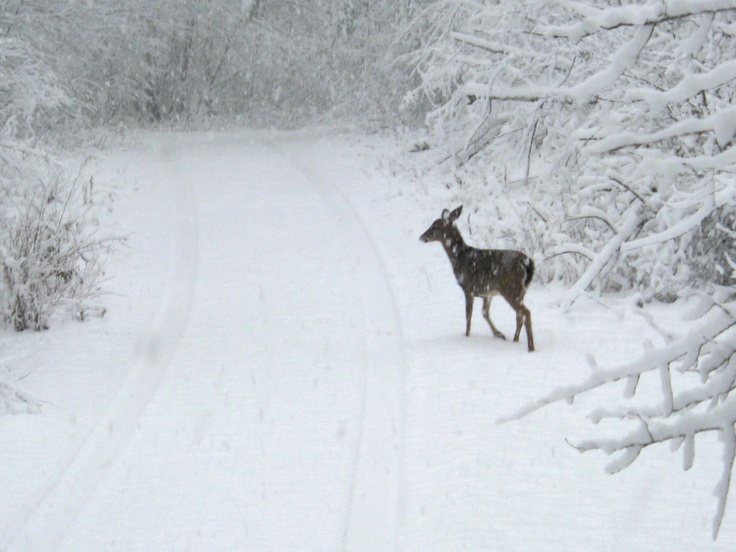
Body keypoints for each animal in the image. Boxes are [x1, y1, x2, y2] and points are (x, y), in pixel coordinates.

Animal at [420, 205, 536, 352]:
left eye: (435, 226)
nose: (422, 237)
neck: (460, 257)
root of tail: (528, 264)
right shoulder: (486, 293)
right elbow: (484, 312)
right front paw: (499, 334)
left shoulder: (468, 287)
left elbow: (468, 314)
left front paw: (467, 336)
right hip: (521, 292)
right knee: (519, 315)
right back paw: (515, 341)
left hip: (511, 289)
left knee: (526, 312)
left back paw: (531, 348)